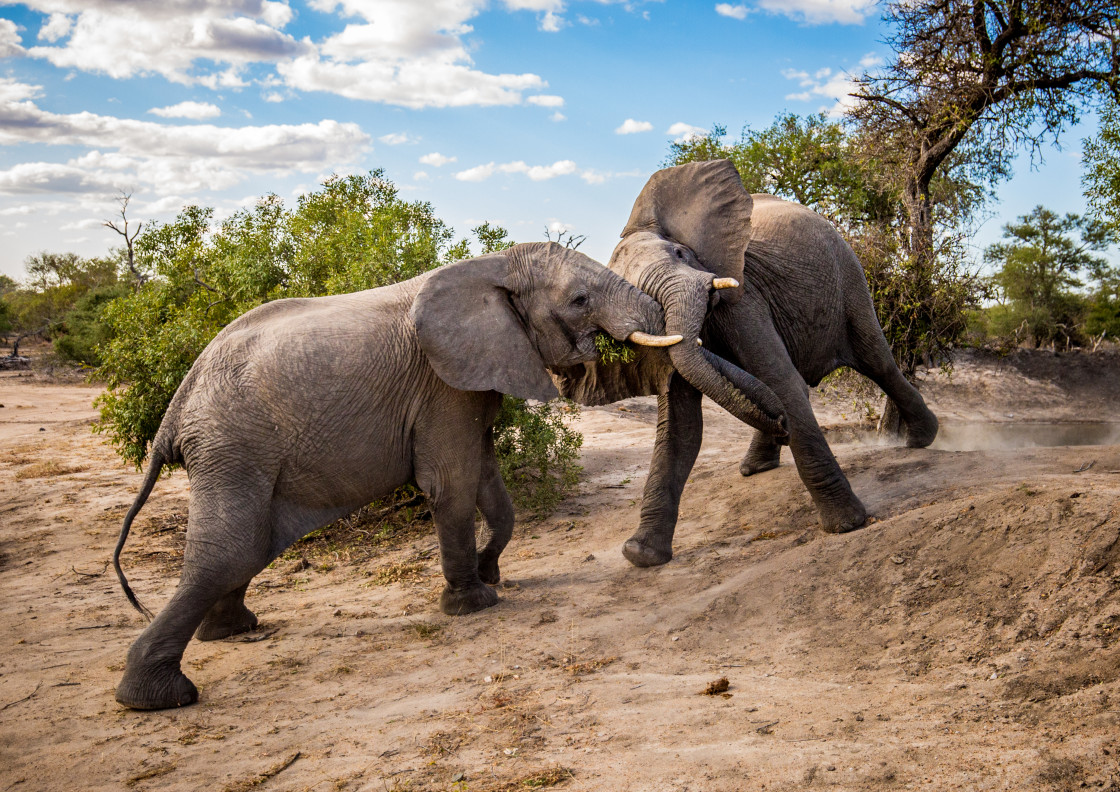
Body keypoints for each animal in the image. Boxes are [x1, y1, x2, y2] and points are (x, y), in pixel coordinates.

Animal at [109, 241, 784, 712]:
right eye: (579, 301)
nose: (780, 417)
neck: (493, 267)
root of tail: (175, 407)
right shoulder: (441, 385)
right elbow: (454, 483)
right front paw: (474, 603)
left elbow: (489, 484)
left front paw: (489, 573)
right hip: (235, 445)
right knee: (232, 547)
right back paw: (159, 698)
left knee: (247, 546)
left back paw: (235, 631)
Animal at [551, 161, 936, 569]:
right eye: (637, 296)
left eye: (681, 254)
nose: (781, 427)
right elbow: (681, 425)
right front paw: (641, 555)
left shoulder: (744, 297)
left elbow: (782, 383)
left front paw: (847, 525)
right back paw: (755, 466)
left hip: (849, 275)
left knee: (877, 361)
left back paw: (920, 440)